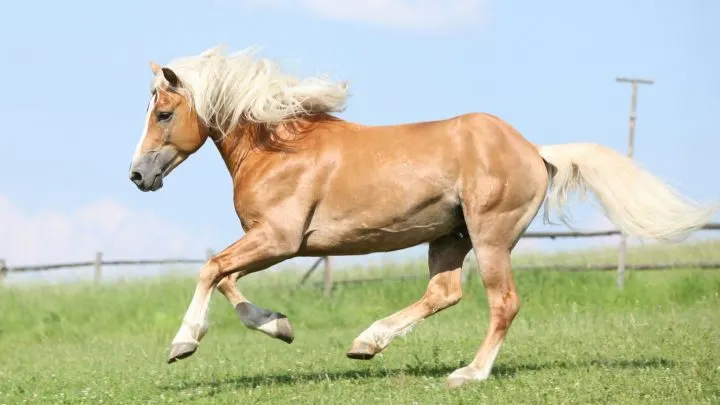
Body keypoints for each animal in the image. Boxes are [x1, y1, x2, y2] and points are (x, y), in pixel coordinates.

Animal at [128, 45, 719, 388]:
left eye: (164, 113)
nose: (137, 175)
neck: (279, 147)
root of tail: (535, 150)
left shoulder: (279, 239)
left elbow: (211, 270)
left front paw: (182, 344)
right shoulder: (269, 241)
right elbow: (225, 277)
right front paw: (281, 326)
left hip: (490, 236)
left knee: (503, 302)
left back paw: (468, 375)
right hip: (450, 236)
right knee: (444, 293)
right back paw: (366, 343)